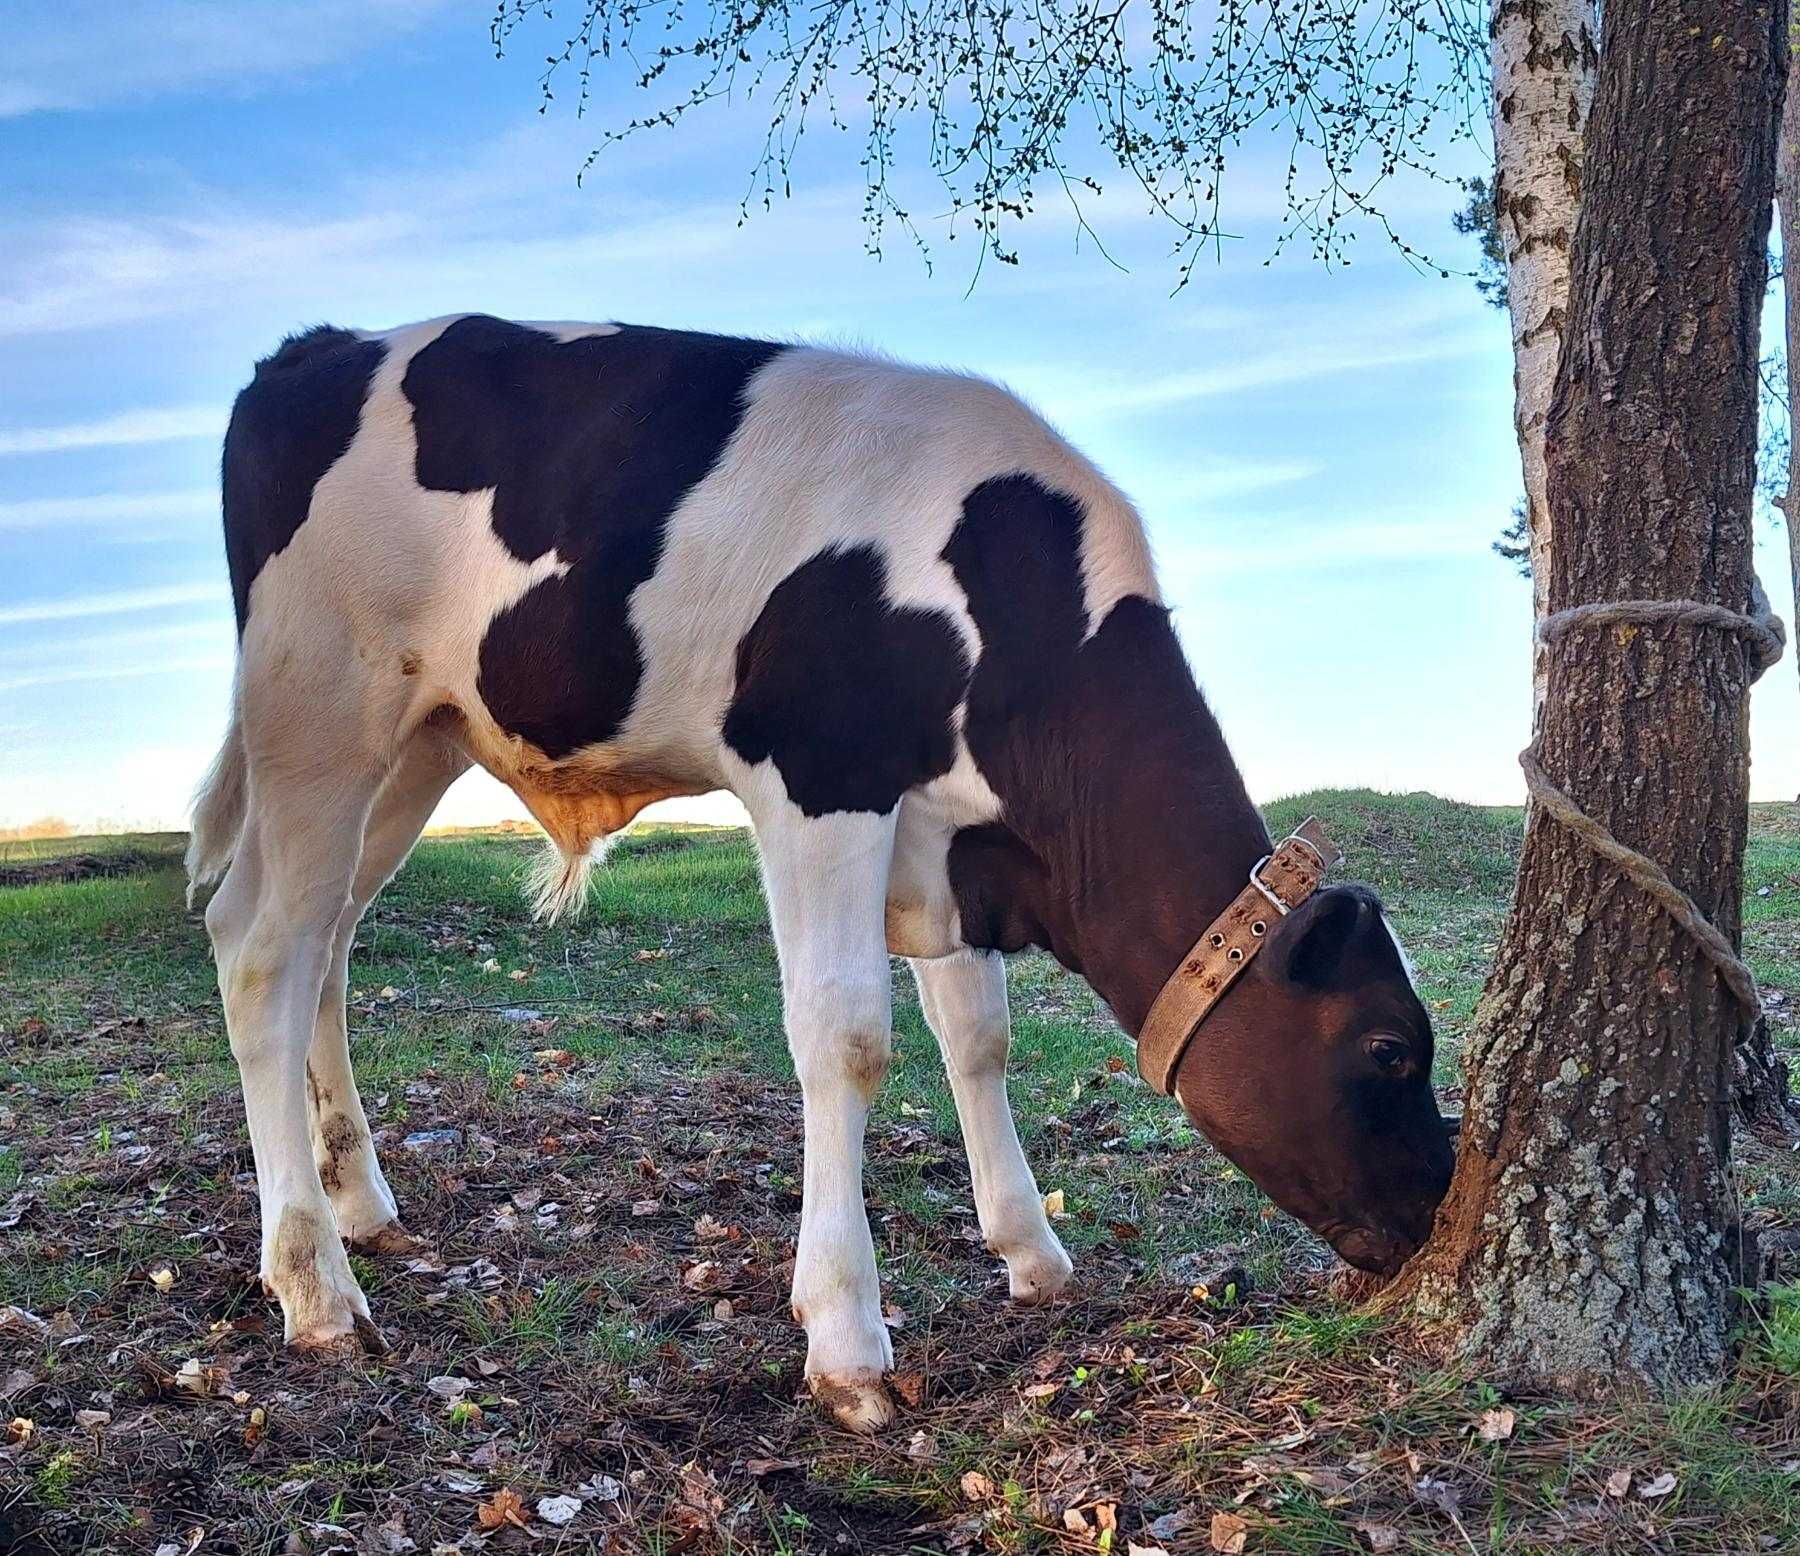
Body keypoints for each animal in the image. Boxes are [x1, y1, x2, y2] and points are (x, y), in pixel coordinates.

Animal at [189, 318, 1454, 1433]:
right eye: (1389, 1046)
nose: (1439, 1205)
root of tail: (316, 347)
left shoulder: (948, 841)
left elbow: (978, 1034)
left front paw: (1031, 1250)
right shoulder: (819, 777)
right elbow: (847, 1037)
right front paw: (847, 1341)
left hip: (421, 737)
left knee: (328, 939)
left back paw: (362, 1206)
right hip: (318, 705)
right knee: (260, 946)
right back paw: (314, 1286)